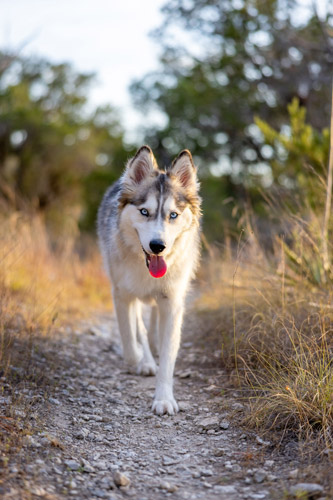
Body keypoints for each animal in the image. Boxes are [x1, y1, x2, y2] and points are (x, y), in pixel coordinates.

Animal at [96, 146, 200, 416]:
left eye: (173, 215)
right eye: (144, 212)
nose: (157, 246)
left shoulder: (172, 303)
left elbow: (168, 356)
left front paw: (164, 399)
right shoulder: (122, 294)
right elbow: (129, 337)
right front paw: (139, 361)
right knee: (139, 328)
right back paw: (145, 359)